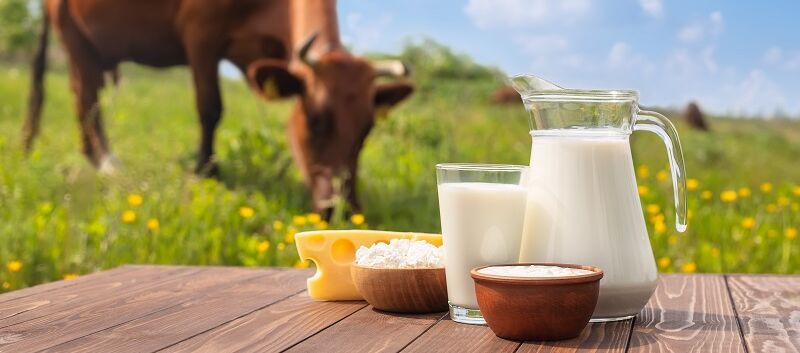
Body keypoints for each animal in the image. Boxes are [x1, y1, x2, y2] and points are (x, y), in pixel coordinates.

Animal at [22, 0, 416, 213]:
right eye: (315, 118)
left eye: (367, 129)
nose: (345, 209)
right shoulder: (200, 33)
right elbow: (210, 107)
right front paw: (206, 170)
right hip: (73, 36)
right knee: (85, 98)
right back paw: (106, 161)